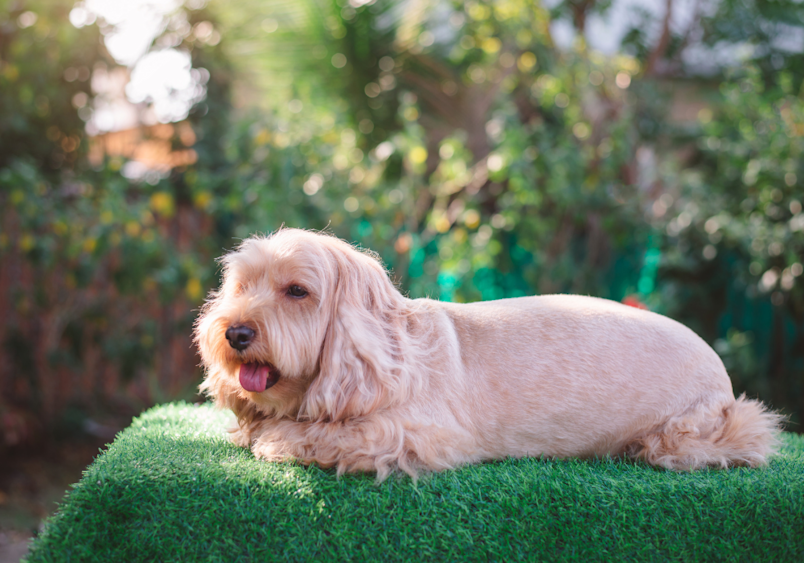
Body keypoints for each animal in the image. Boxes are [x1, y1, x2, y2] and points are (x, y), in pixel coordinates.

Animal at [195, 229, 780, 480]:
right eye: (241, 285)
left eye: (297, 291)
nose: (235, 333)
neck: (389, 346)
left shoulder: (413, 435)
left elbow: (312, 434)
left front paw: (274, 438)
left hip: (686, 433)